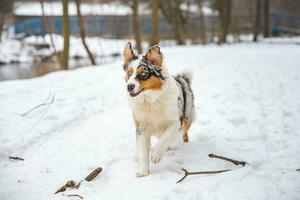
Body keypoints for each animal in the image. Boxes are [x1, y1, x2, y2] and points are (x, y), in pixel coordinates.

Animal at [122, 42, 197, 177]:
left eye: (143, 74)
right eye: (129, 73)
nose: (129, 86)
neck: (150, 100)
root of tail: (182, 78)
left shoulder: (176, 121)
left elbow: (166, 137)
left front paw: (156, 155)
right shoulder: (141, 127)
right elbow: (143, 150)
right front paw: (143, 171)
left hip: (187, 116)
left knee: (183, 134)